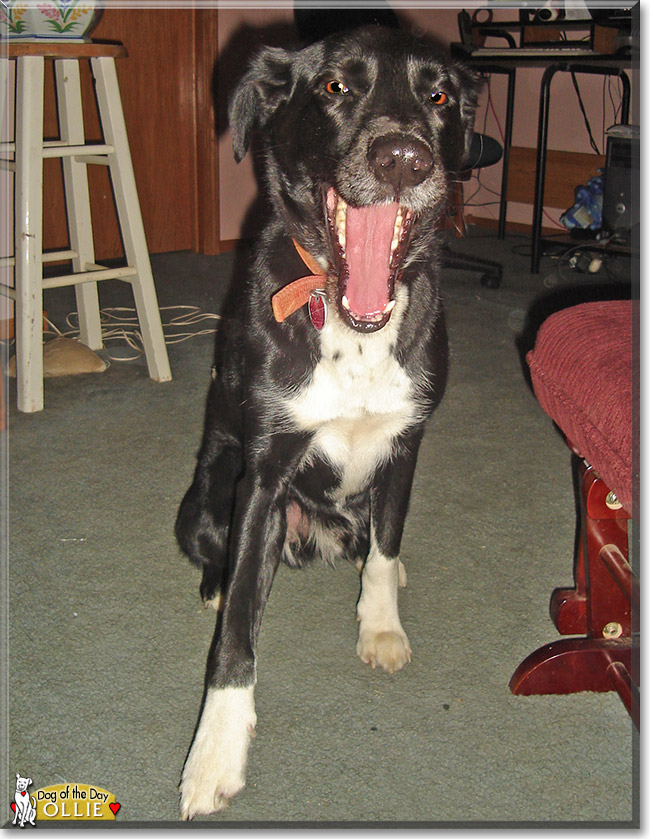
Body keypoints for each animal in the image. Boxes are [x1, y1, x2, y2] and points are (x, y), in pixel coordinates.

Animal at [175, 27, 478, 820]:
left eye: (440, 94)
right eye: (337, 88)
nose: (403, 158)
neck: (351, 320)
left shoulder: (407, 445)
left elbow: (383, 553)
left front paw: (380, 623)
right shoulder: (264, 469)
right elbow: (236, 634)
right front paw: (214, 755)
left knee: (373, 544)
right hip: (207, 497)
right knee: (221, 555)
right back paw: (216, 581)